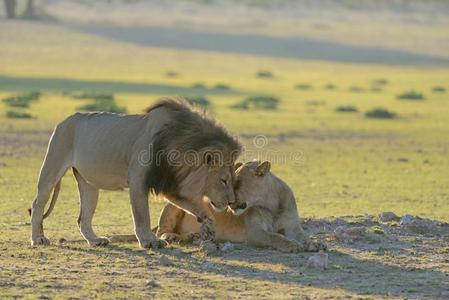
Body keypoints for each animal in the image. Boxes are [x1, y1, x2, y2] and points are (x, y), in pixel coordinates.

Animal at [30, 98, 242, 248]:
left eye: (233, 180)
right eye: (223, 180)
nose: (232, 202)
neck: (180, 143)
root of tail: (65, 120)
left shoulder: (171, 183)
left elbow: (196, 208)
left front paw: (208, 228)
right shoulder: (139, 179)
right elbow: (142, 215)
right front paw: (149, 241)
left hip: (89, 183)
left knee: (84, 217)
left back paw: (95, 240)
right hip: (52, 165)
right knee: (37, 204)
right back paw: (38, 238)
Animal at [154, 161, 326, 252]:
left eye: (238, 182)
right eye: (227, 182)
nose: (229, 202)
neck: (272, 205)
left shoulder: (293, 227)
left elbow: (304, 236)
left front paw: (316, 244)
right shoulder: (255, 233)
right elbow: (276, 237)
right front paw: (293, 245)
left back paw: (192, 236)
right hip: (174, 206)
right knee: (161, 231)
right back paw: (174, 237)